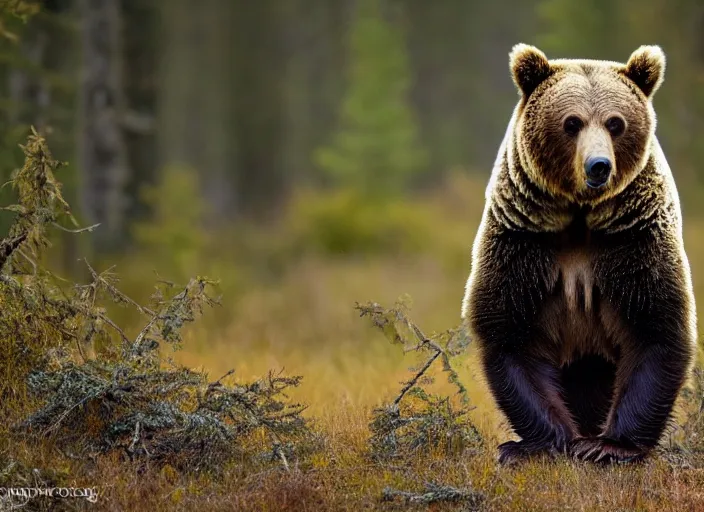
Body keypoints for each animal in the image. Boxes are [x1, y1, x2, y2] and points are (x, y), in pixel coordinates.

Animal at [462, 44, 700, 466]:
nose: (598, 166)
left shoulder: (633, 239)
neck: (579, 217)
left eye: (616, 123)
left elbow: (657, 327)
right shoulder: (524, 243)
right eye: (571, 123)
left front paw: (607, 445)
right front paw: (542, 443)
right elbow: (510, 333)